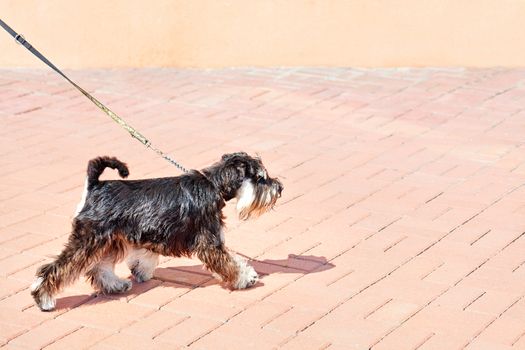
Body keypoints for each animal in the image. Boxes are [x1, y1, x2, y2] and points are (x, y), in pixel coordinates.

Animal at [29, 152, 282, 310]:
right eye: (261, 178)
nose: (279, 188)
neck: (214, 185)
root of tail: (95, 185)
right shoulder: (209, 242)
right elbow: (228, 262)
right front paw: (246, 278)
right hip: (89, 239)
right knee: (56, 268)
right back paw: (43, 298)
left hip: (109, 240)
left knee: (100, 267)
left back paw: (116, 285)